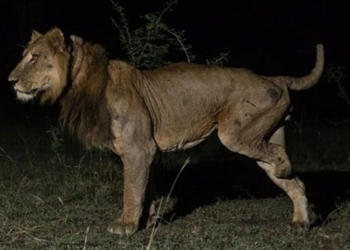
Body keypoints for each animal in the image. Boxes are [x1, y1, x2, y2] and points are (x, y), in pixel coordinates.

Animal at [8, 28, 324, 235]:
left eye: (34, 57)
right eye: (25, 55)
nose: (10, 80)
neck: (80, 82)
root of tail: (275, 78)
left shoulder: (138, 149)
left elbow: (131, 189)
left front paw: (125, 226)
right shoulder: (147, 151)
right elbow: (146, 187)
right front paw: (147, 221)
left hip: (235, 134)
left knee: (280, 157)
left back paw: (286, 171)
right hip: (261, 136)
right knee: (296, 182)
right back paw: (301, 222)